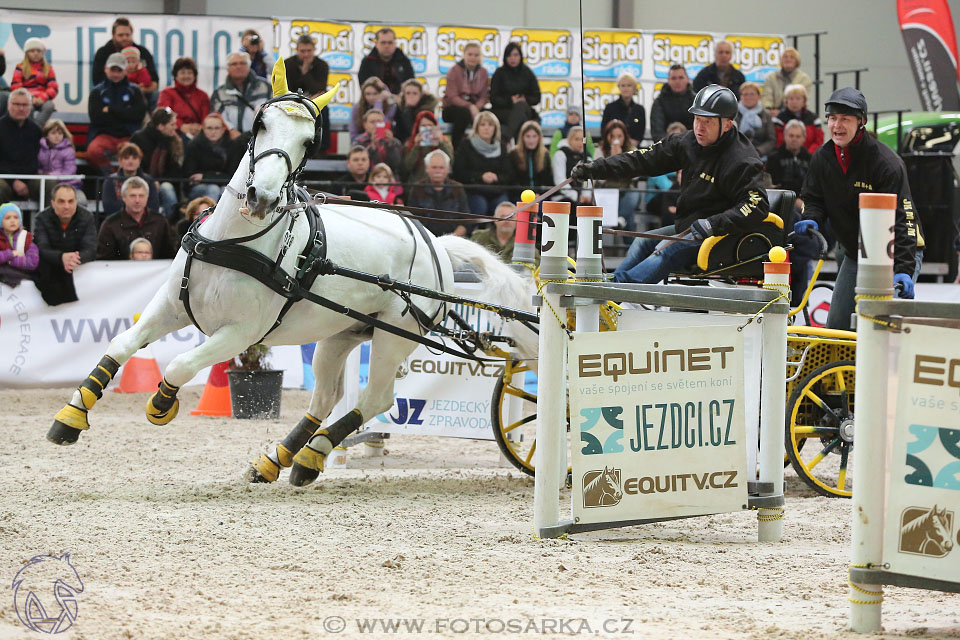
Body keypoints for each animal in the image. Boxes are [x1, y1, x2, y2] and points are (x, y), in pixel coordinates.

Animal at [48, 60, 540, 488]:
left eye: (308, 141)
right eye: (260, 124)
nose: (261, 198)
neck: (234, 243)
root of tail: (435, 241)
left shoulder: (240, 333)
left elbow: (181, 363)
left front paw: (161, 403)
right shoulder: (170, 306)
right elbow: (121, 344)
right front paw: (70, 417)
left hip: (394, 335)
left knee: (376, 398)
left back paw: (309, 456)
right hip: (341, 334)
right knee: (325, 398)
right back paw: (280, 460)